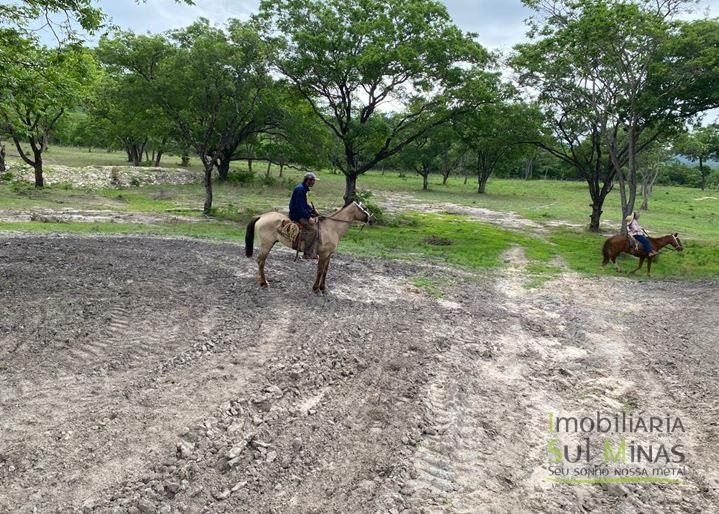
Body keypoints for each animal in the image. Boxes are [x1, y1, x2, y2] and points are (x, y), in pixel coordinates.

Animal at [245, 202, 374, 294]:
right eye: (364, 208)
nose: (372, 219)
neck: (332, 228)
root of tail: (262, 216)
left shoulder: (329, 255)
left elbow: (325, 271)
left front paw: (323, 288)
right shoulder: (323, 254)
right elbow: (320, 270)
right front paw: (316, 288)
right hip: (266, 244)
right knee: (261, 261)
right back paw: (264, 283)